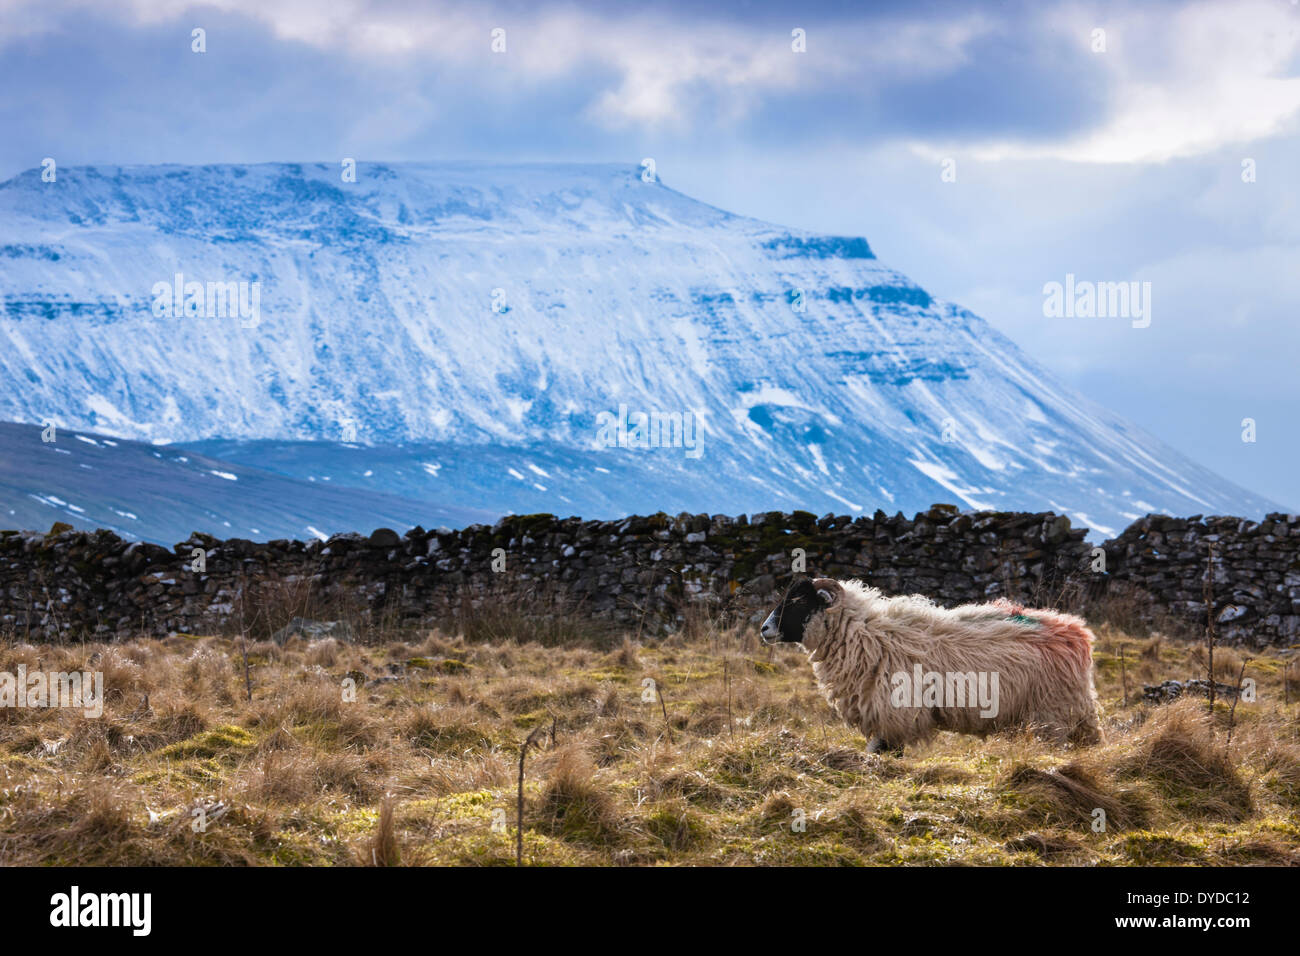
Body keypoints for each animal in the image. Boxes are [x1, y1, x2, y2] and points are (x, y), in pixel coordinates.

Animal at [759, 574, 1102, 754]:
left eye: (799, 601)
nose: (764, 629)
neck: (863, 633)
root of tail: (1075, 631)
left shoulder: (894, 714)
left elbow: (882, 751)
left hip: (1051, 713)